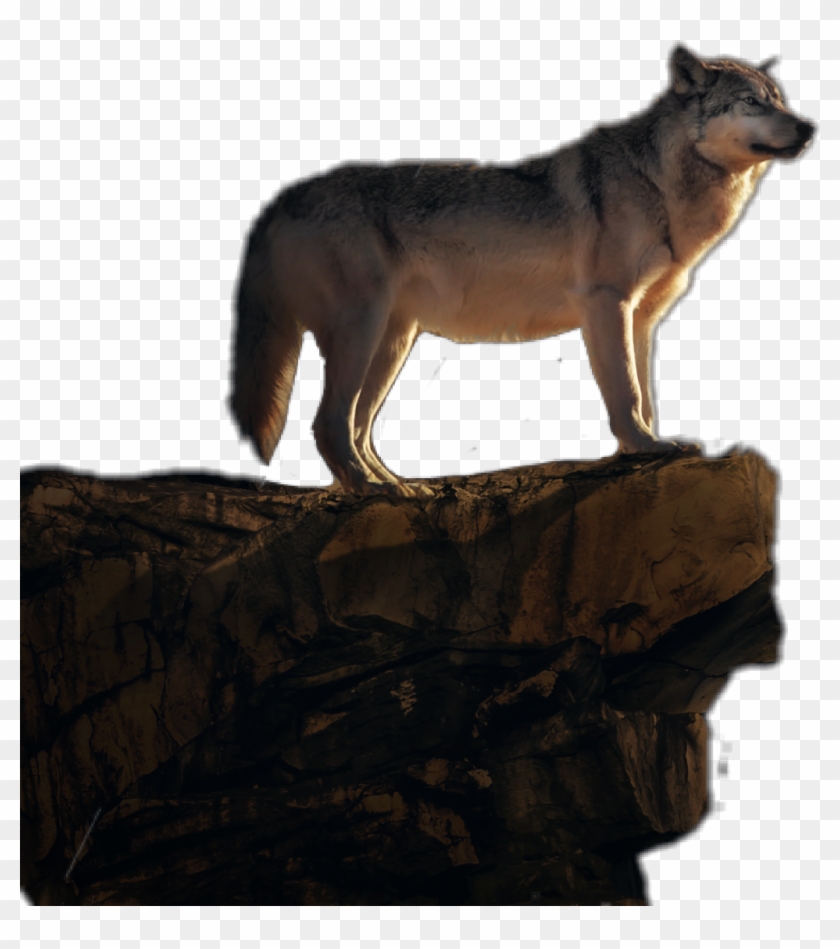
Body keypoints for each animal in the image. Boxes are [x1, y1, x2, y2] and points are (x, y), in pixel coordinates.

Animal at [230, 45, 814, 497]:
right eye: (752, 102)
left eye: (780, 99)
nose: (809, 127)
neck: (661, 183)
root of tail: (281, 199)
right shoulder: (607, 303)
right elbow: (626, 394)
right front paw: (644, 447)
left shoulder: (642, 318)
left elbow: (645, 394)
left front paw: (651, 446)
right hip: (363, 331)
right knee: (329, 424)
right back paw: (372, 490)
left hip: (393, 342)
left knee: (357, 427)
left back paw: (398, 486)